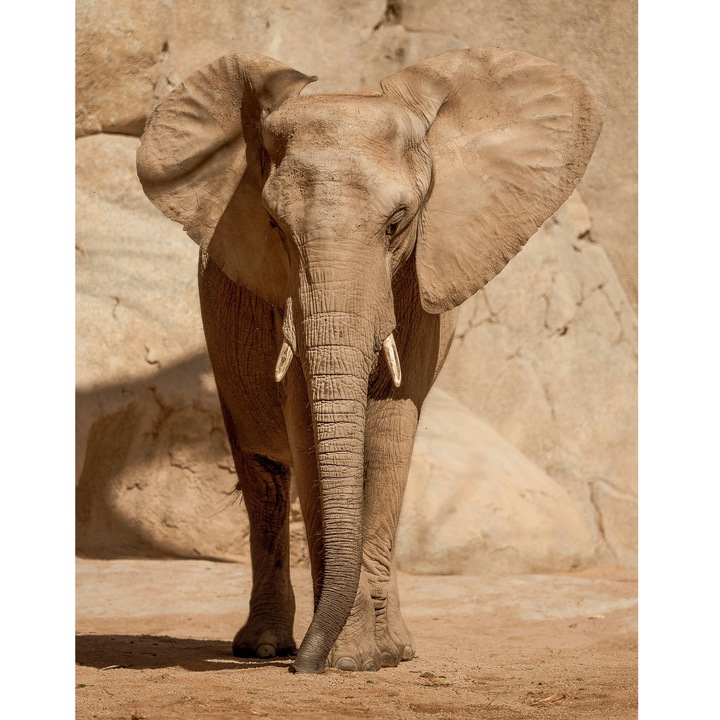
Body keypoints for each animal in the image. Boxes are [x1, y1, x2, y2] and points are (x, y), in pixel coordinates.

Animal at [136, 48, 603, 674]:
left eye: (397, 223)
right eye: (275, 226)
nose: (303, 668)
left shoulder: (420, 284)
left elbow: (388, 431)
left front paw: (371, 658)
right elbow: (308, 432)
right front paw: (344, 658)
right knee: (263, 478)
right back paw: (264, 646)